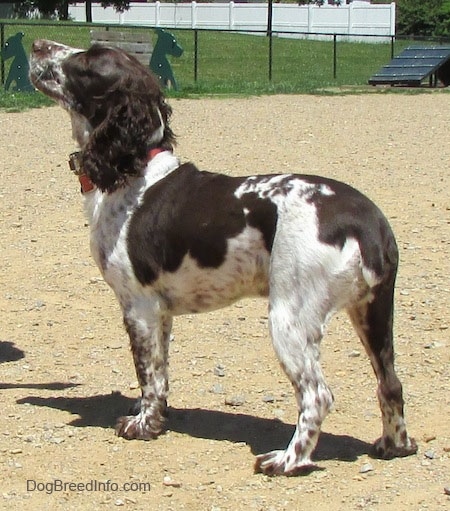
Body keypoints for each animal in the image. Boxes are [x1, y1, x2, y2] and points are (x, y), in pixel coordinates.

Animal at [29, 39, 418, 476]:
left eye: (89, 59)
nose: (38, 44)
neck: (135, 171)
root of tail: (366, 220)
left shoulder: (138, 306)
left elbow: (147, 376)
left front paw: (143, 425)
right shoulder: (161, 313)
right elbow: (160, 373)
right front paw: (156, 418)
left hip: (290, 317)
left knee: (318, 395)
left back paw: (288, 460)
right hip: (373, 311)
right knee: (390, 382)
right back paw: (394, 445)